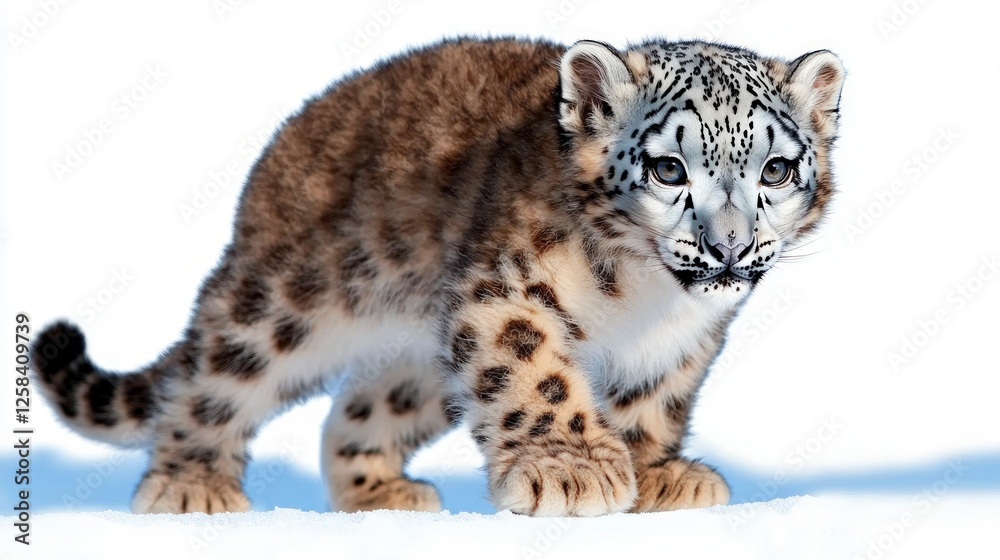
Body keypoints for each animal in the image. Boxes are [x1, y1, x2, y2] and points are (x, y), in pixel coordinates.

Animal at [32, 37, 844, 516]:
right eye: (670, 168)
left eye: (775, 169)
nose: (731, 247)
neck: (648, 297)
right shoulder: (504, 294)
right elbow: (537, 378)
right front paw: (570, 470)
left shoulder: (678, 339)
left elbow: (653, 401)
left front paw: (659, 474)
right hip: (277, 309)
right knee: (210, 382)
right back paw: (190, 485)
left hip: (417, 368)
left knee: (354, 414)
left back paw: (381, 494)